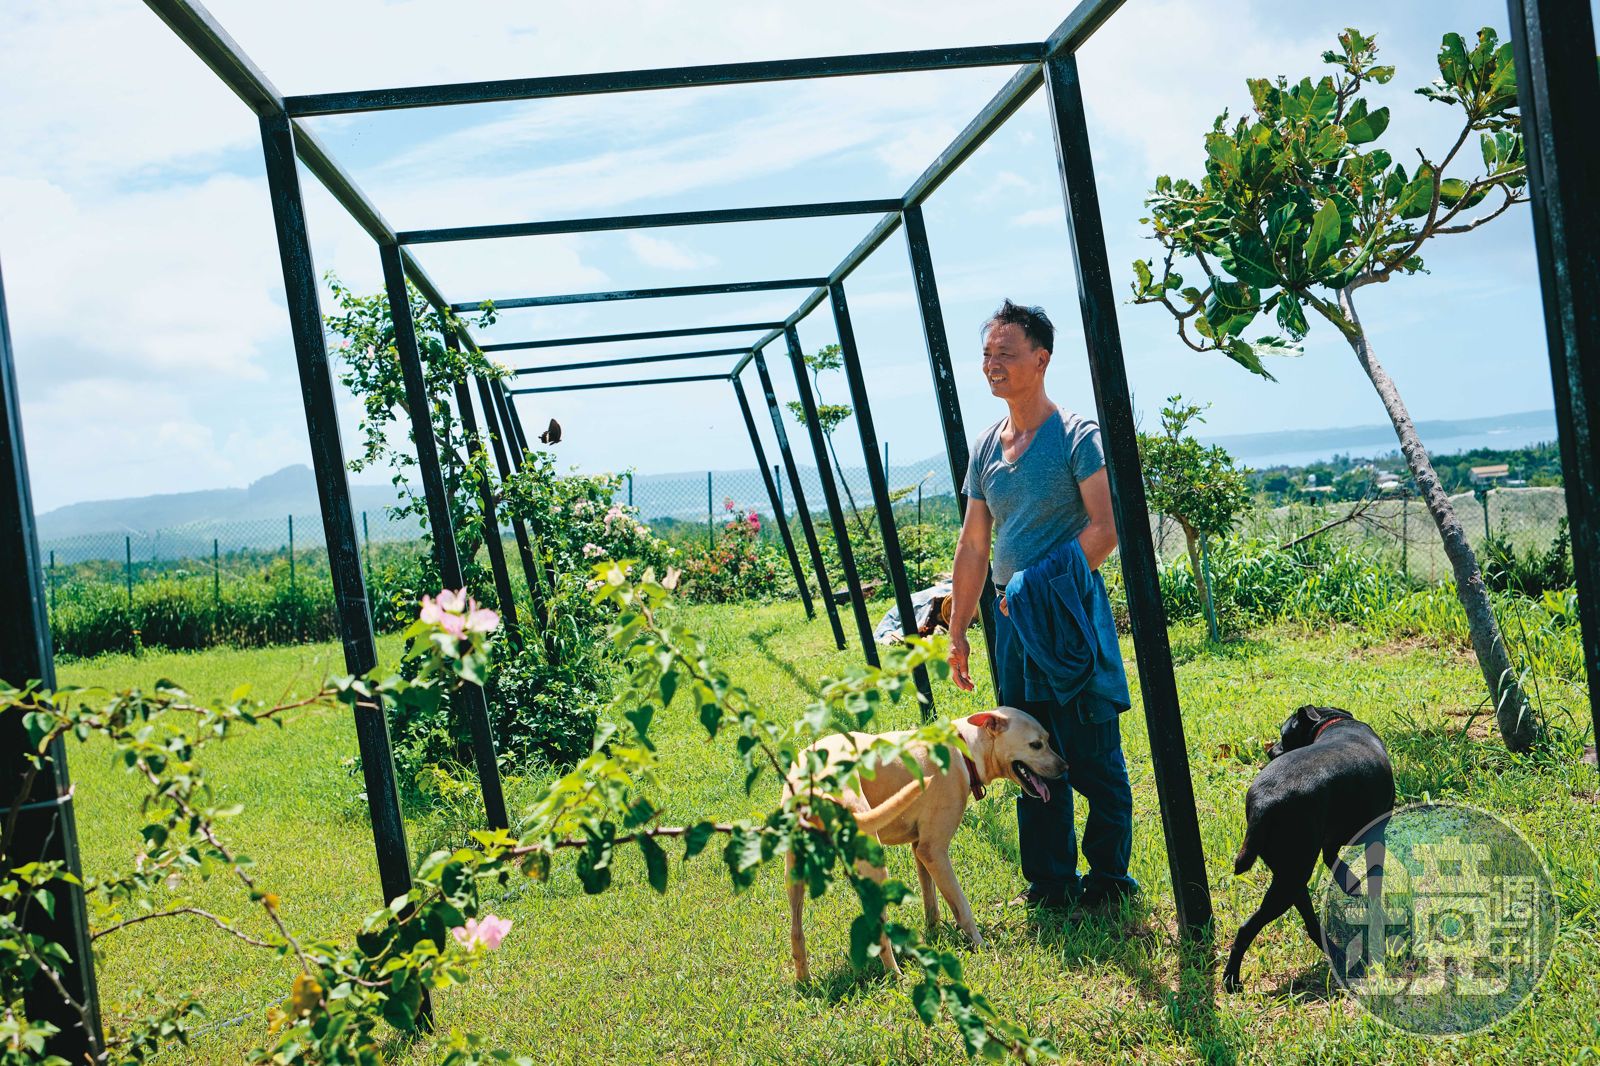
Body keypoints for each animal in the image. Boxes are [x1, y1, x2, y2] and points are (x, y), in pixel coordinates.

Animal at [780, 704, 1068, 979]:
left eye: (1048, 739)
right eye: (1036, 744)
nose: (1066, 768)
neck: (965, 751)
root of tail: (812, 790)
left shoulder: (920, 850)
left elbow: (931, 901)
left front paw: (934, 936)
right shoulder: (934, 852)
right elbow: (962, 908)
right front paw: (980, 945)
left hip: (795, 875)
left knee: (796, 933)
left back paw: (804, 981)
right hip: (874, 868)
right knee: (878, 933)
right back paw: (895, 975)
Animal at [1222, 701, 1388, 992]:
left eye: (1283, 735)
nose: (1270, 750)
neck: (1330, 721)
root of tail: (1263, 803)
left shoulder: (1331, 840)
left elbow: (1334, 861)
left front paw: (1351, 883)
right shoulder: (1376, 836)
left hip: (1291, 877)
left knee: (1311, 924)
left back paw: (1339, 955)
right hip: (1290, 881)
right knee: (1246, 927)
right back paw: (1231, 978)